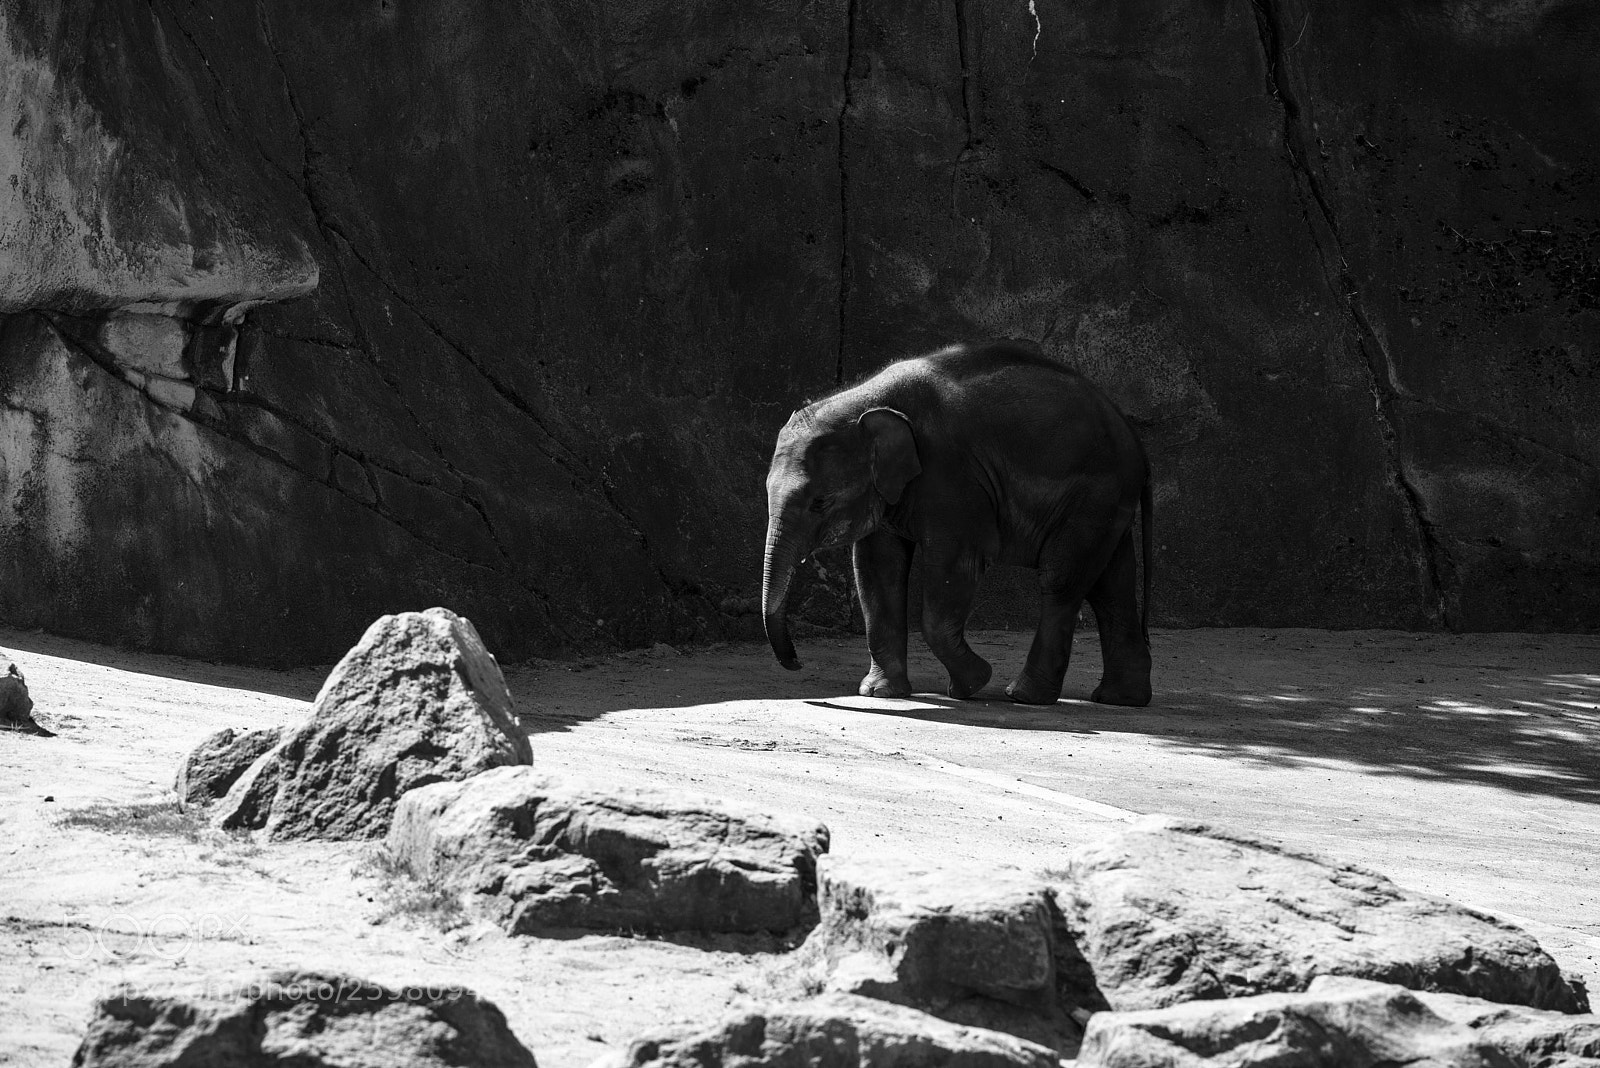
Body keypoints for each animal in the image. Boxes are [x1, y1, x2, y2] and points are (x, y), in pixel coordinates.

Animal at [761, 340, 1153, 706]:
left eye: (819, 503)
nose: (797, 663)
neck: (865, 399)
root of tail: (1135, 440)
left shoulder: (952, 476)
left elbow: (955, 564)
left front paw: (971, 685)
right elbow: (878, 569)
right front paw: (880, 693)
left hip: (1094, 493)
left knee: (1062, 581)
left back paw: (1024, 695)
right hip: (1108, 500)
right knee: (1110, 585)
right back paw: (1121, 698)